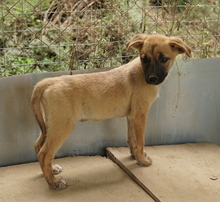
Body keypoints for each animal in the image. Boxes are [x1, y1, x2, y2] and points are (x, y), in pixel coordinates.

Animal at [31, 34, 191, 189]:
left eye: (164, 59)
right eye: (144, 58)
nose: (151, 79)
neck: (141, 71)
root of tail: (49, 82)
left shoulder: (131, 117)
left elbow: (132, 140)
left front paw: (135, 157)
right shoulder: (140, 116)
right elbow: (140, 141)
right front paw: (142, 160)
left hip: (49, 124)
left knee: (38, 146)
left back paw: (51, 171)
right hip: (62, 125)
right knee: (44, 153)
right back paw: (54, 183)